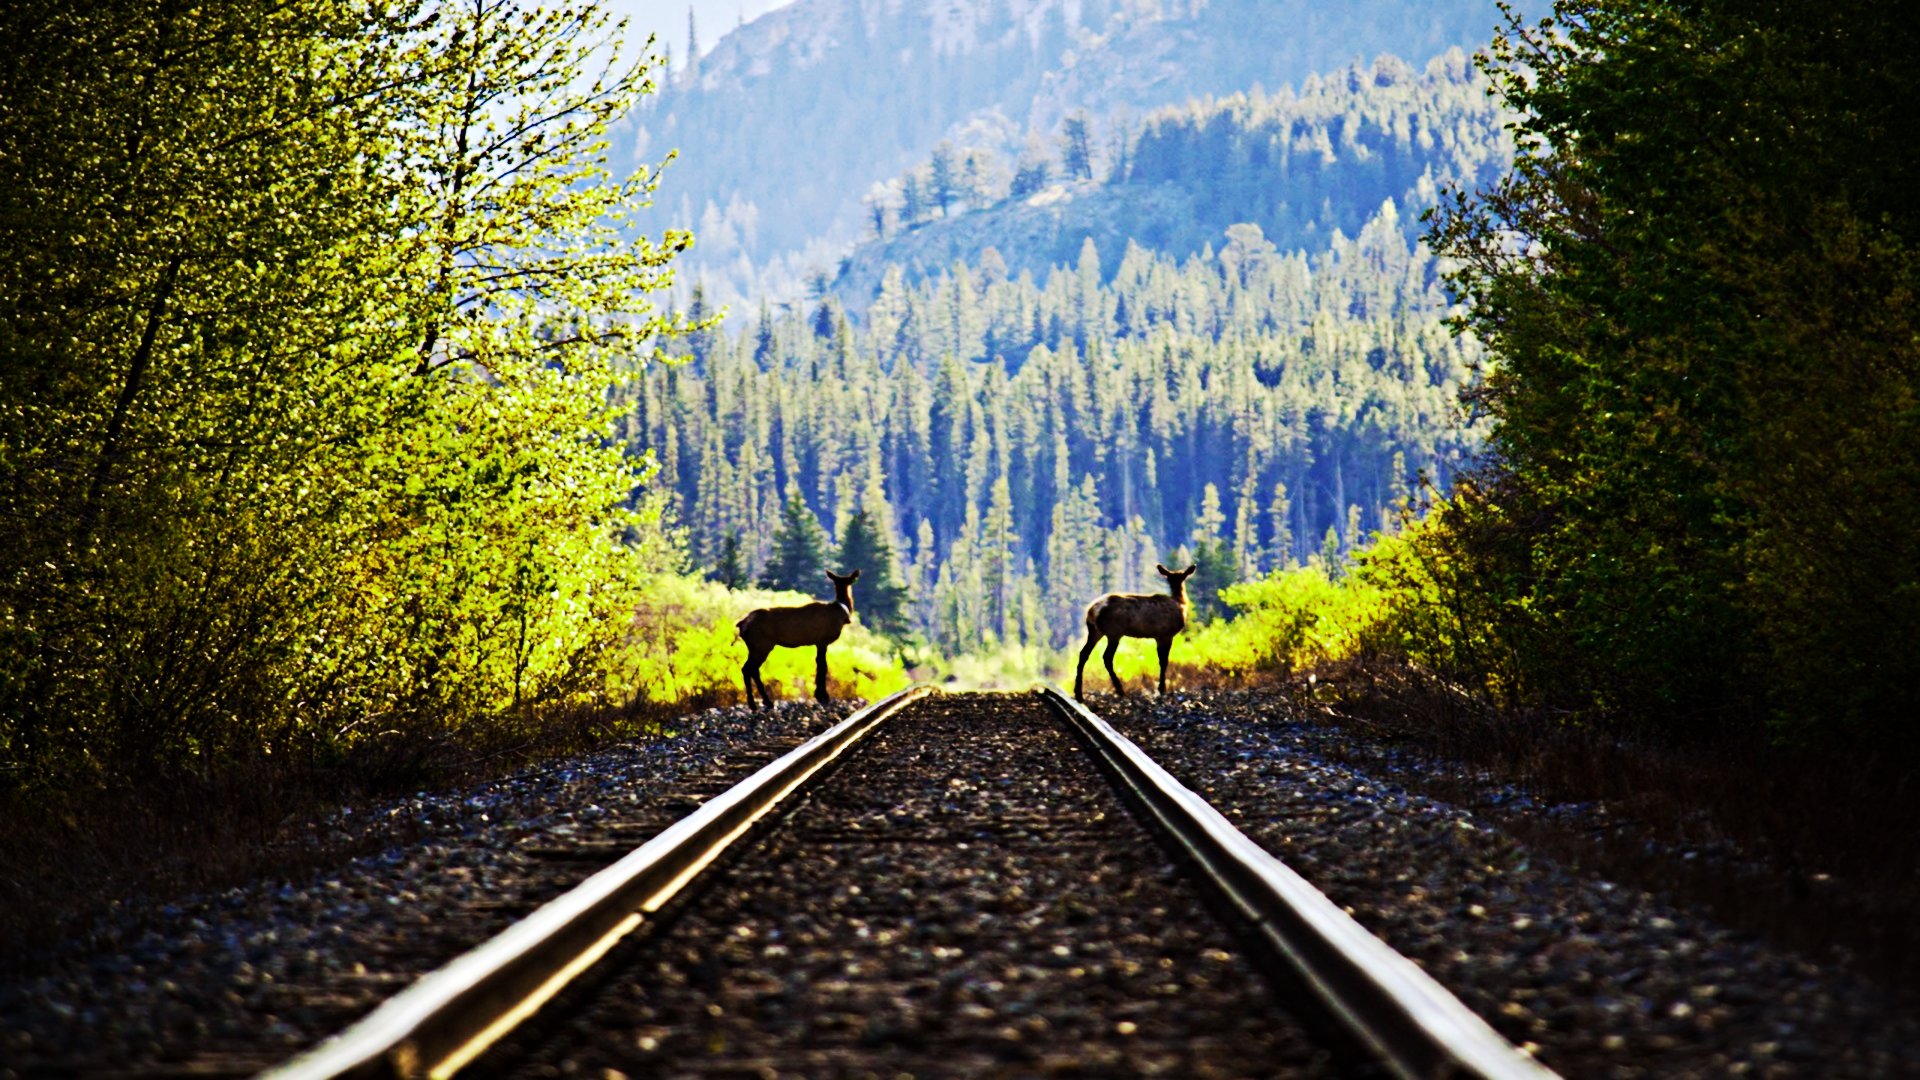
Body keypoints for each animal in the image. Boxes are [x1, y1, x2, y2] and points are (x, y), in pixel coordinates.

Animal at [729, 564, 860, 707]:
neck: (841, 613)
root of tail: (741, 624)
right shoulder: (823, 640)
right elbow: (823, 666)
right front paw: (823, 696)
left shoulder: (818, 643)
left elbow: (819, 664)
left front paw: (818, 694)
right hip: (762, 644)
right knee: (748, 669)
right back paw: (757, 703)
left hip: (754, 646)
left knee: (751, 669)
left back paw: (763, 702)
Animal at [1075, 557, 1190, 703]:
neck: (1181, 604)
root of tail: (1092, 611)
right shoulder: (1165, 635)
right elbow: (1164, 661)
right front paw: (1162, 689)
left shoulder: (1160, 636)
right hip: (1114, 632)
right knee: (1107, 657)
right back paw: (1120, 690)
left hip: (1095, 631)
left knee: (1084, 654)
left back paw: (1079, 694)